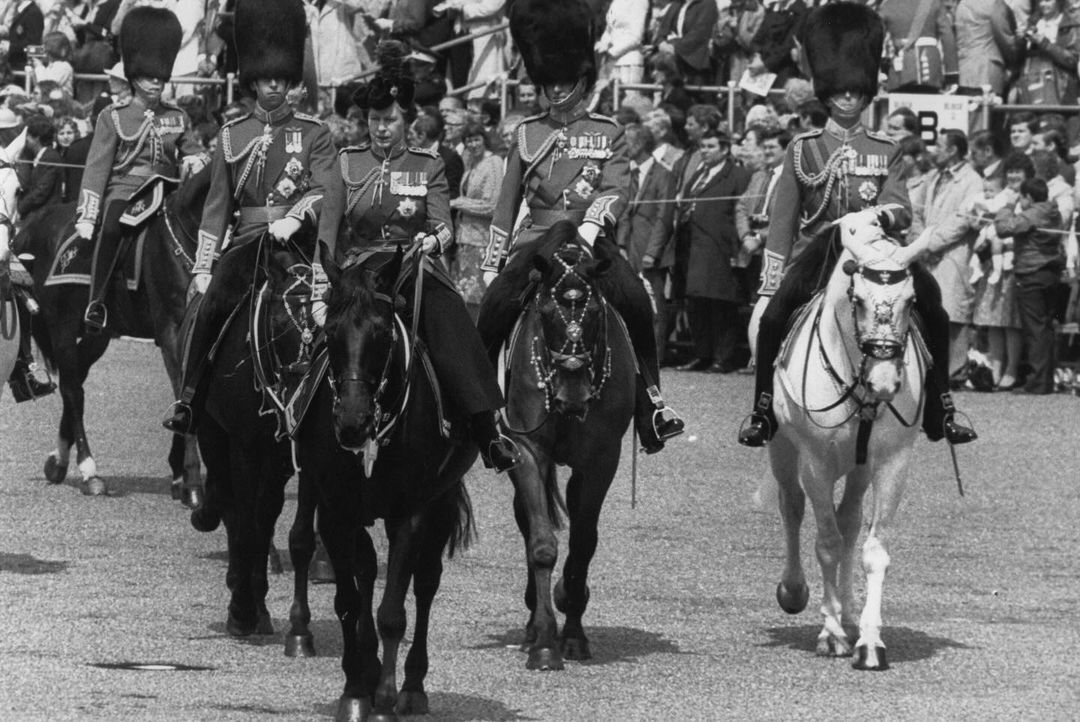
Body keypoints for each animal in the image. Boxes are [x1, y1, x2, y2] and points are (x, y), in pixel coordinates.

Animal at [17, 167, 208, 500]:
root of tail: (33, 222)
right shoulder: (172, 332)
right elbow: (182, 395)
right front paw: (191, 481)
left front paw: (179, 475)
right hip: (62, 325)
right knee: (72, 389)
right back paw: (88, 470)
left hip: (97, 334)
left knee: (75, 380)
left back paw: (59, 460)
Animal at [282, 244, 477, 716]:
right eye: (331, 332)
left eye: (383, 333)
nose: (352, 422)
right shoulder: (338, 511)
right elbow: (349, 602)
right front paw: (355, 688)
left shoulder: (410, 513)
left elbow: (393, 611)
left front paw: (387, 696)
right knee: (365, 570)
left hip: (441, 501)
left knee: (424, 583)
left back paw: (412, 685)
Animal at [494, 221, 635, 669]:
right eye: (545, 313)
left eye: (595, 314)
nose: (573, 395)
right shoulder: (526, 451)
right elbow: (541, 544)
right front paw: (543, 642)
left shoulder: (602, 459)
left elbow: (583, 543)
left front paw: (572, 633)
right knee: (527, 523)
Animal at [768, 221, 937, 669]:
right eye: (858, 300)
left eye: (912, 300)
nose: (885, 382)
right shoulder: (816, 463)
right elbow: (825, 543)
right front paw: (830, 634)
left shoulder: (892, 463)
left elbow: (871, 549)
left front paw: (869, 641)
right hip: (781, 449)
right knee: (792, 507)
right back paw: (795, 591)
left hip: (860, 468)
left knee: (848, 522)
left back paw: (846, 610)